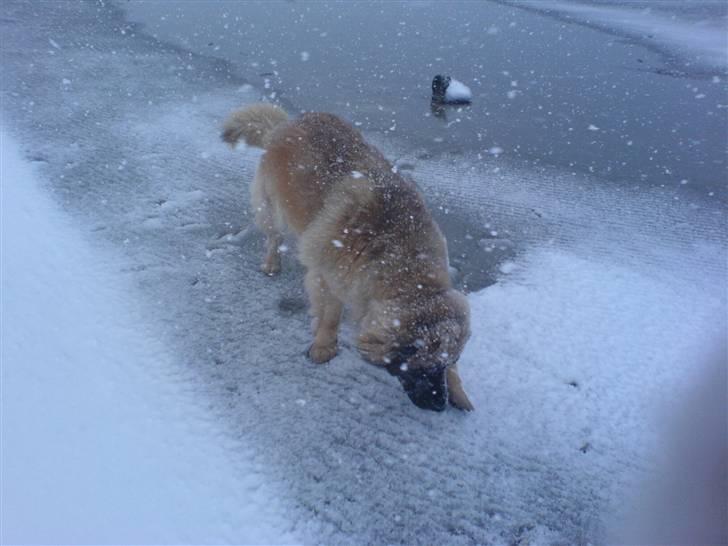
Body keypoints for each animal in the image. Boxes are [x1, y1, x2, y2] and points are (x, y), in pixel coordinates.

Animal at [222, 103, 472, 408]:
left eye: (446, 365)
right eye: (422, 368)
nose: (439, 406)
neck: (403, 261)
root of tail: (285, 126)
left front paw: (458, 389)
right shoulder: (329, 275)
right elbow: (330, 315)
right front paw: (324, 346)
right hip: (271, 207)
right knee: (274, 236)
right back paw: (271, 262)